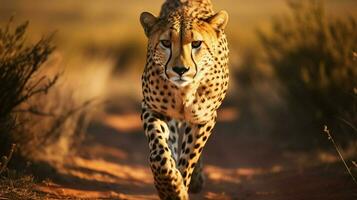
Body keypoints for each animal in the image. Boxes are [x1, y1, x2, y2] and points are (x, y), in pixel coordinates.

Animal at [139, 0, 228, 198]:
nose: (180, 70)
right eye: (165, 43)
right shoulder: (153, 109)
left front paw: (179, 188)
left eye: (196, 43)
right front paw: (169, 185)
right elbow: (160, 151)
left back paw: (195, 180)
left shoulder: (203, 118)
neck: (183, 91)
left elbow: (190, 156)